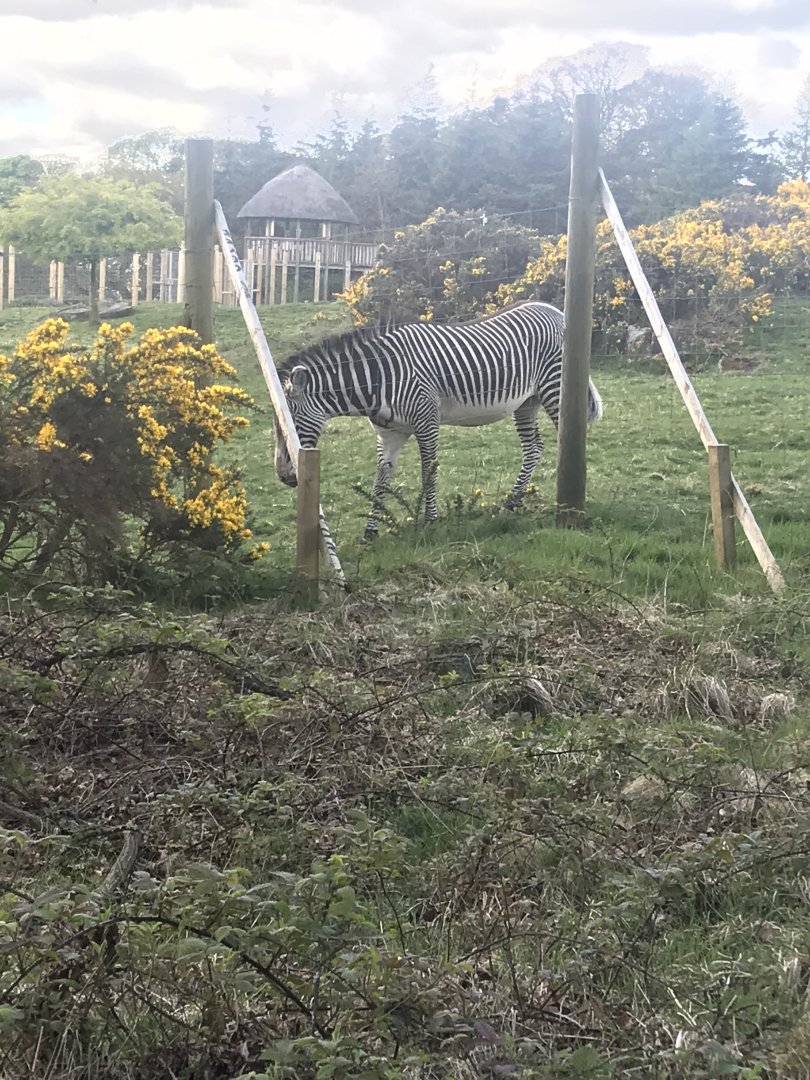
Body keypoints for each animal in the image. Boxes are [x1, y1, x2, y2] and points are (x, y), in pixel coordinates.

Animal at [274, 300, 603, 538]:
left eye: (291, 422)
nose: (284, 477)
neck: (380, 379)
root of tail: (556, 310)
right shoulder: (389, 433)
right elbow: (380, 480)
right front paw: (370, 532)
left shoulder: (427, 420)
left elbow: (428, 472)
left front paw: (430, 522)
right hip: (526, 402)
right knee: (533, 447)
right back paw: (512, 501)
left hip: (555, 387)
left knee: (568, 436)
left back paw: (568, 503)